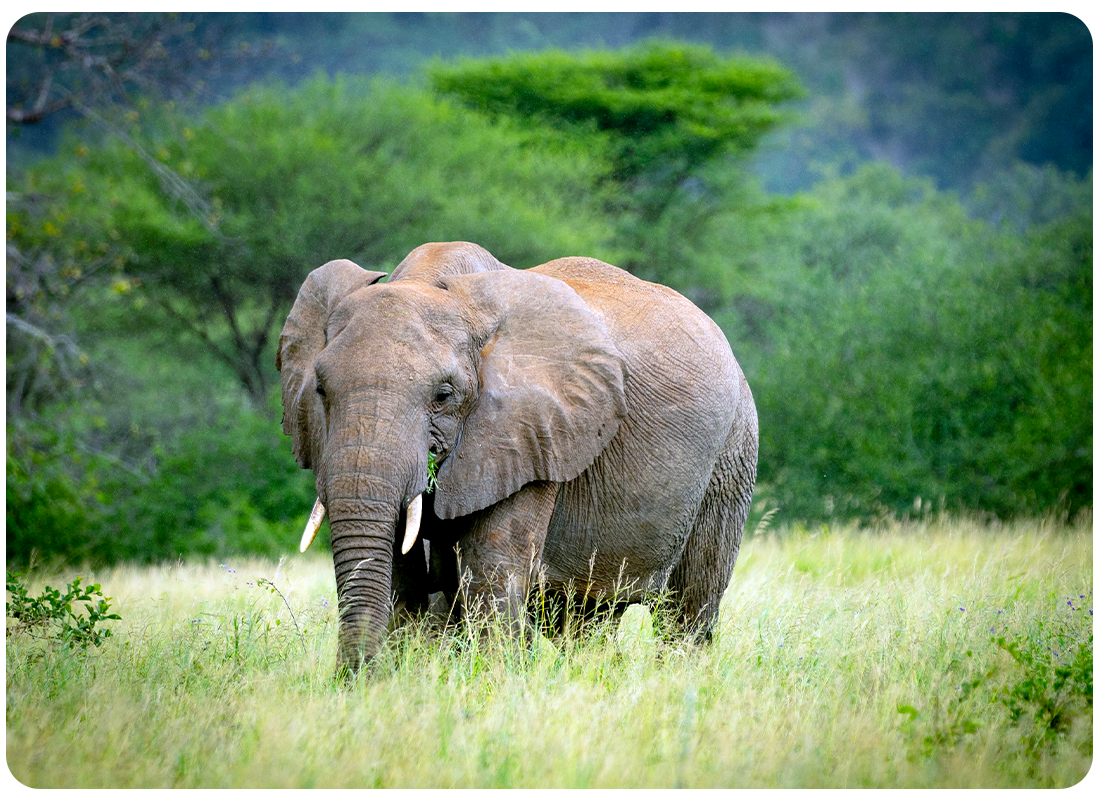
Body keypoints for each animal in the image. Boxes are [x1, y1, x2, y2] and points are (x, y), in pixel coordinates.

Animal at [277, 241, 758, 674]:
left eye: (443, 396)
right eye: (320, 390)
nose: (352, 680)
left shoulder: (533, 434)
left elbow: (491, 567)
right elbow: (399, 571)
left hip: (732, 455)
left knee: (687, 609)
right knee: (584, 621)